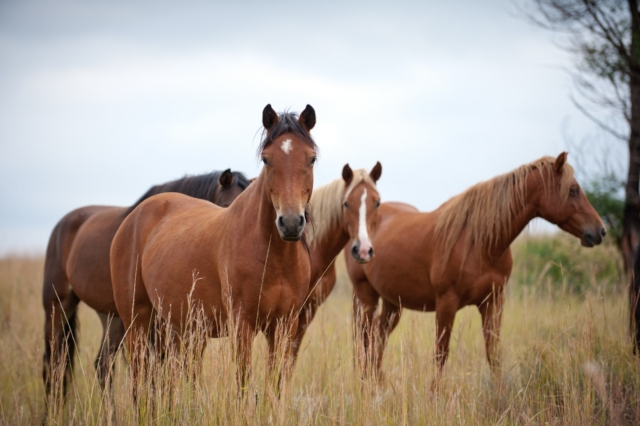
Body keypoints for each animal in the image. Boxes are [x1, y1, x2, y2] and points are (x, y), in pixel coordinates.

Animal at [111, 105, 318, 398]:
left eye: (311, 159)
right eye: (266, 159)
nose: (290, 222)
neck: (274, 258)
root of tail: (135, 215)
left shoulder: (284, 325)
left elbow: (275, 386)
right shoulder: (242, 325)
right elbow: (243, 384)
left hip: (176, 327)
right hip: (136, 320)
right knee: (140, 376)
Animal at [348, 152, 608, 376]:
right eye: (573, 190)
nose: (600, 231)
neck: (480, 243)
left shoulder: (492, 302)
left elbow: (494, 355)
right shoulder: (446, 303)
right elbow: (441, 355)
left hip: (393, 303)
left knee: (377, 341)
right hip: (366, 297)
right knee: (364, 341)